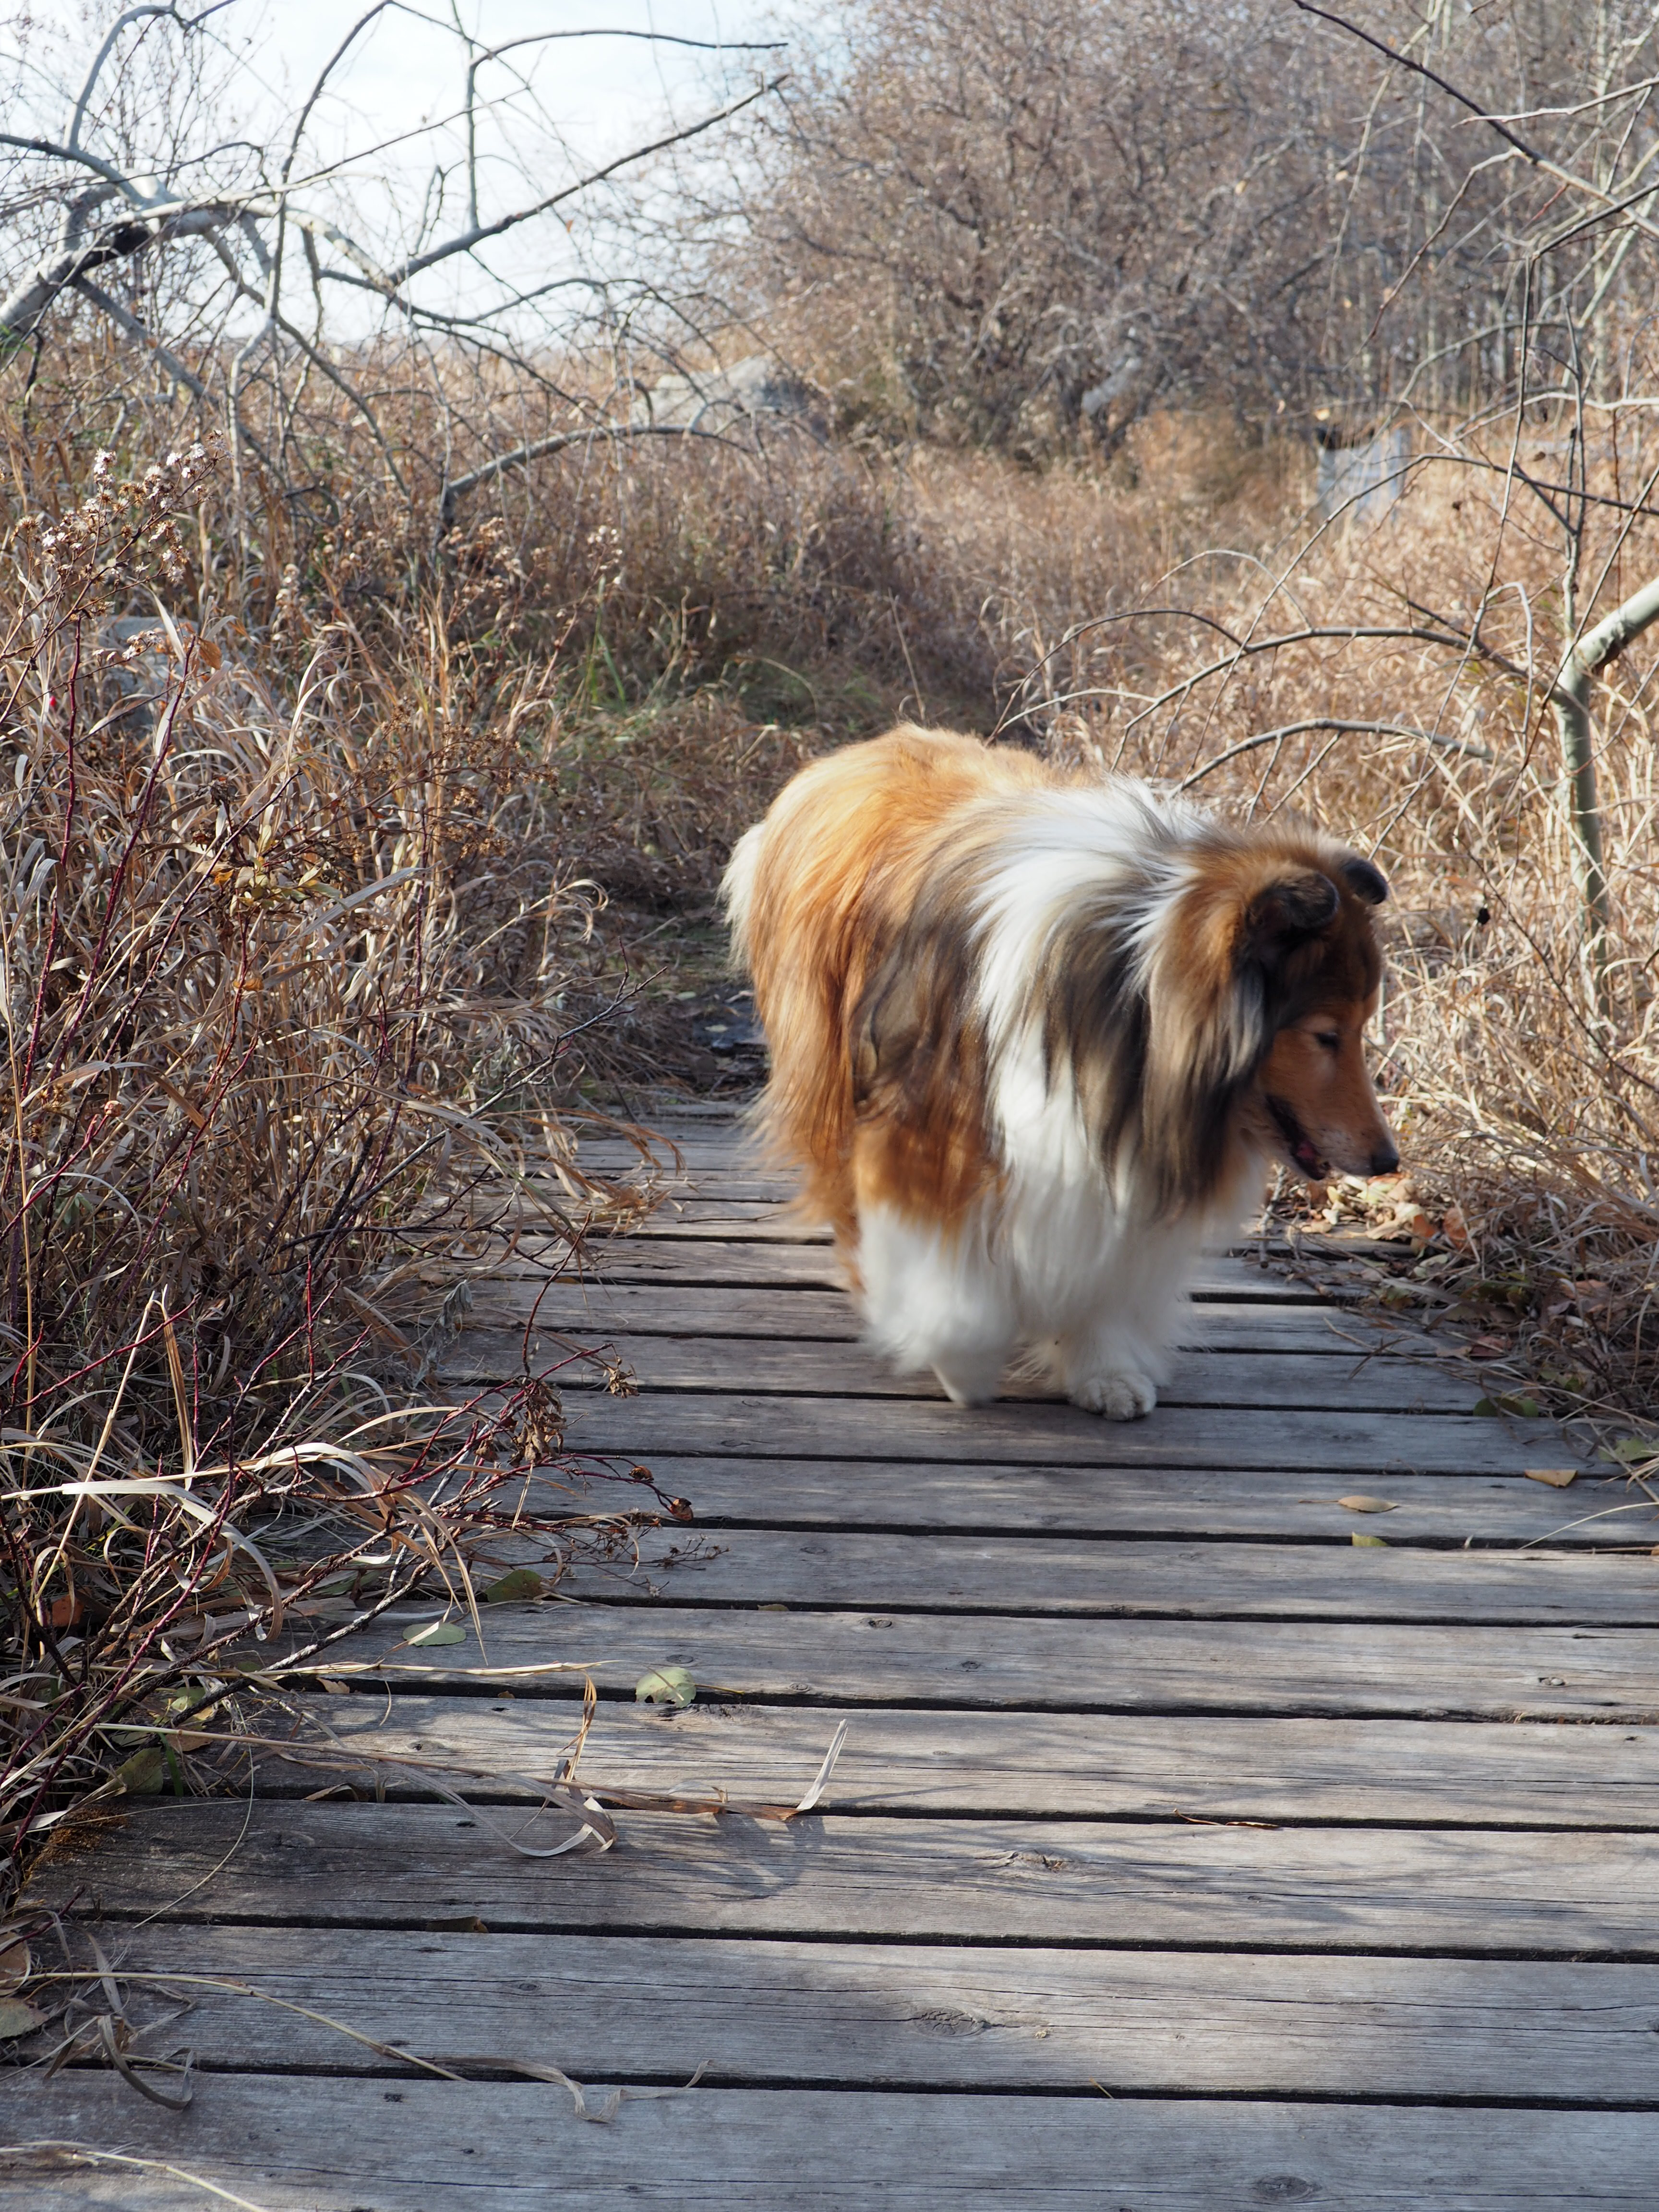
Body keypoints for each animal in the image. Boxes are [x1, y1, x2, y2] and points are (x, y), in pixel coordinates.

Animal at [722, 725, 1397, 1418]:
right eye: (1326, 1035)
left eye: (1360, 1027)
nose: (1388, 1161)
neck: (1129, 1004)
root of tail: (853, 753)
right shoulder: (927, 1129)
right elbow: (948, 1265)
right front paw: (959, 1356)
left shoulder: (1106, 1152)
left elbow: (1103, 1264)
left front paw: (1101, 1365)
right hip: (831, 1060)